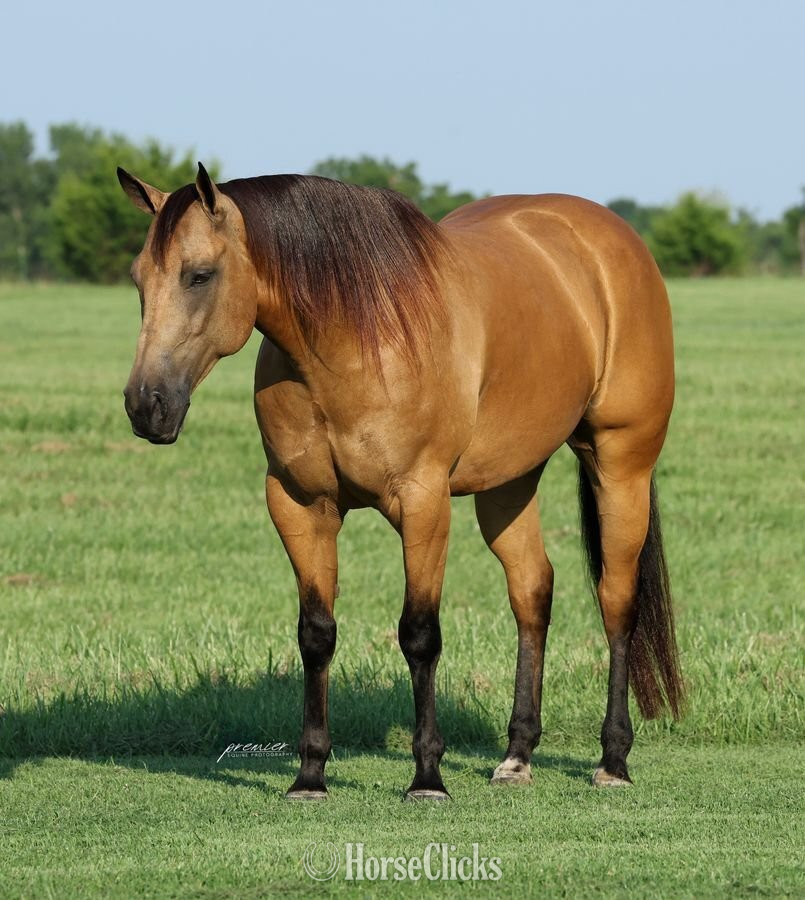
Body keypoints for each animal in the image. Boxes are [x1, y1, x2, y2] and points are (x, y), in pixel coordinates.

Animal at [117, 162, 683, 801]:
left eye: (200, 275)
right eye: (139, 279)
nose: (146, 405)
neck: (351, 340)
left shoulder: (423, 502)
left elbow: (419, 634)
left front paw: (427, 776)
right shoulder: (298, 504)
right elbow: (316, 633)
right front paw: (310, 774)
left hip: (621, 463)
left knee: (616, 599)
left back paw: (613, 759)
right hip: (509, 481)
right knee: (532, 592)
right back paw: (517, 756)